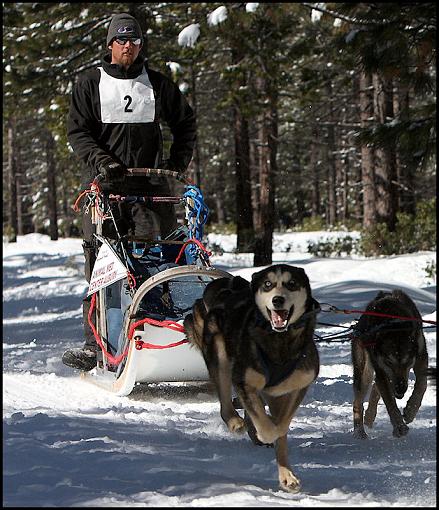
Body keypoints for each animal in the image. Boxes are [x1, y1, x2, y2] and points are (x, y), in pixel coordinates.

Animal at [183, 264, 320, 492]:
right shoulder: (244, 382)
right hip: (220, 358)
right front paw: (264, 431)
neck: (279, 341)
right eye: (268, 284)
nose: (278, 300)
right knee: (225, 404)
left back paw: (285, 474)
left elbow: (282, 426)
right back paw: (235, 422)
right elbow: (267, 425)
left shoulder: (297, 387)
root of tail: (229, 288)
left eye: (292, 283)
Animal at [352, 288, 428, 440]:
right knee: (358, 401)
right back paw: (360, 433)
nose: (400, 388)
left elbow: (422, 384)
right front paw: (399, 427)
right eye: (389, 362)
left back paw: (369, 416)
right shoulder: (382, 370)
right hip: (364, 372)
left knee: (376, 386)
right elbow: (390, 402)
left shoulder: (421, 357)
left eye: (407, 361)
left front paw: (411, 410)